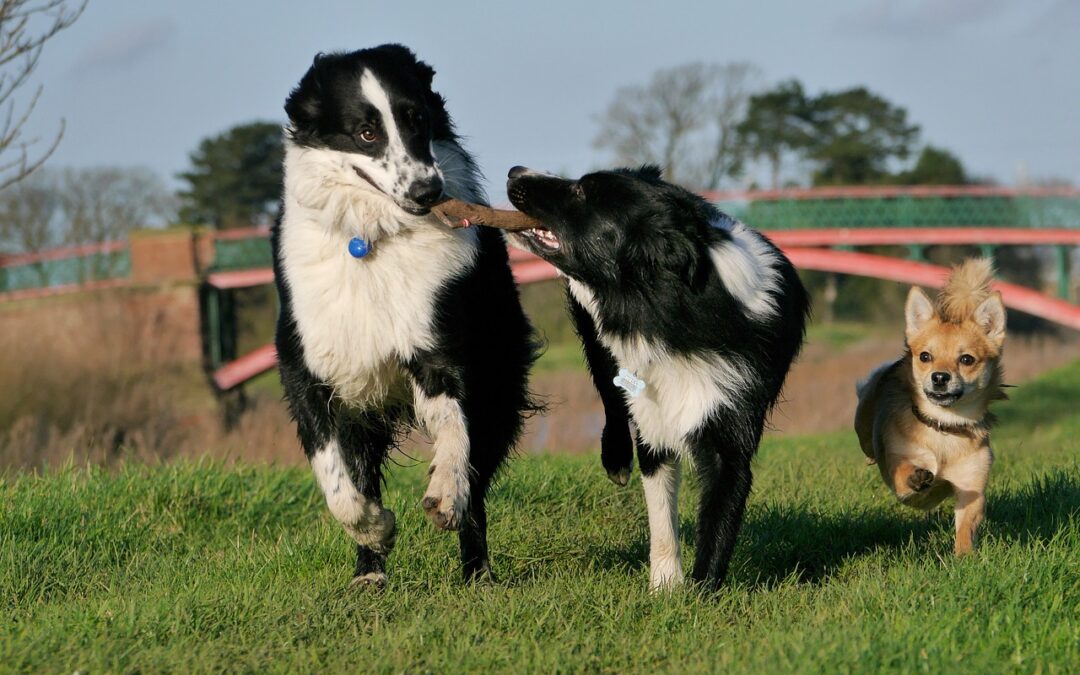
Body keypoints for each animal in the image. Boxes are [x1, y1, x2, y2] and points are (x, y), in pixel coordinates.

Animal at [272, 44, 537, 587]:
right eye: (366, 133)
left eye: (418, 119)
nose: (427, 191)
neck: (373, 238)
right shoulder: (307, 368)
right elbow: (338, 481)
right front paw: (375, 531)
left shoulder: (442, 350)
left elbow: (455, 435)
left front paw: (444, 496)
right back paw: (368, 573)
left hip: (499, 374)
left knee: (478, 476)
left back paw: (477, 571)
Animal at [505, 164, 812, 587]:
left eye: (583, 191)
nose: (514, 170)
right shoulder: (653, 415)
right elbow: (662, 514)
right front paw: (666, 586)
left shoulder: (731, 427)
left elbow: (718, 521)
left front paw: (701, 593)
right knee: (610, 396)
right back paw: (616, 459)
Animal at [855, 259, 1006, 552]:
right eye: (925, 356)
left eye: (967, 359)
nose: (939, 377)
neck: (944, 426)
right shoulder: (902, 481)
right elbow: (905, 473)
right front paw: (917, 477)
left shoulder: (971, 488)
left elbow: (966, 527)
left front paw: (964, 556)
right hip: (863, 422)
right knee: (868, 444)